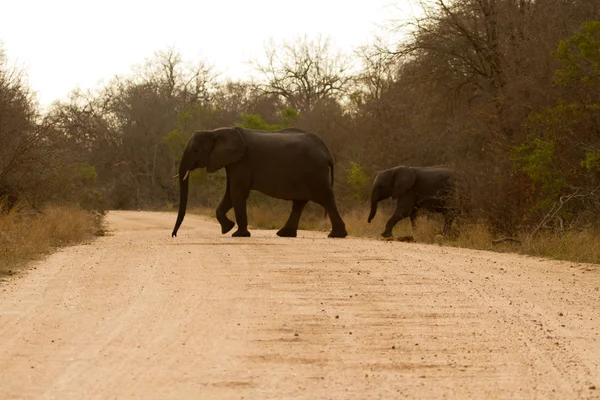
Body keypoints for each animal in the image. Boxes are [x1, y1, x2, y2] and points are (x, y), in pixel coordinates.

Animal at [170, 126, 346, 238]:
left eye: (195, 150)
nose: (174, 235)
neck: (216, 132)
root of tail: (326, 151)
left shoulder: (242, 161)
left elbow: (237, 191)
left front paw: (238, 234)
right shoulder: (233, 162)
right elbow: (230, 192)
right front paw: (227, 229)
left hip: (316, 172)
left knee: (326, 199)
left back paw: (336, 235)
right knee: (300, 202)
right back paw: (284, 234)